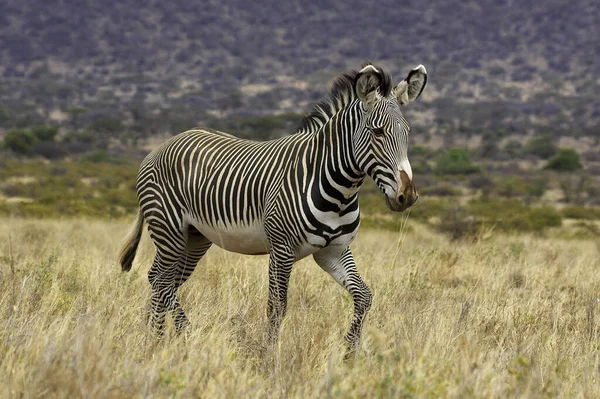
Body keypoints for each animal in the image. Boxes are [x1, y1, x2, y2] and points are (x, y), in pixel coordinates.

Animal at [118, 62, 426, 356]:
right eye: (378, 132)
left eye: (408, 133)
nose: (407, 196)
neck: (339, 189)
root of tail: (163, 144)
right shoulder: (281, 249)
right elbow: (277, 306)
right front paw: (269, 358)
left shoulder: (334, 251)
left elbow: (364, 296)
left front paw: (349, 354)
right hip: (168, 228)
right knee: (161, 280)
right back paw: (174, 336)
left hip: (195, 237)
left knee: (161, 279)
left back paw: (158, 338)